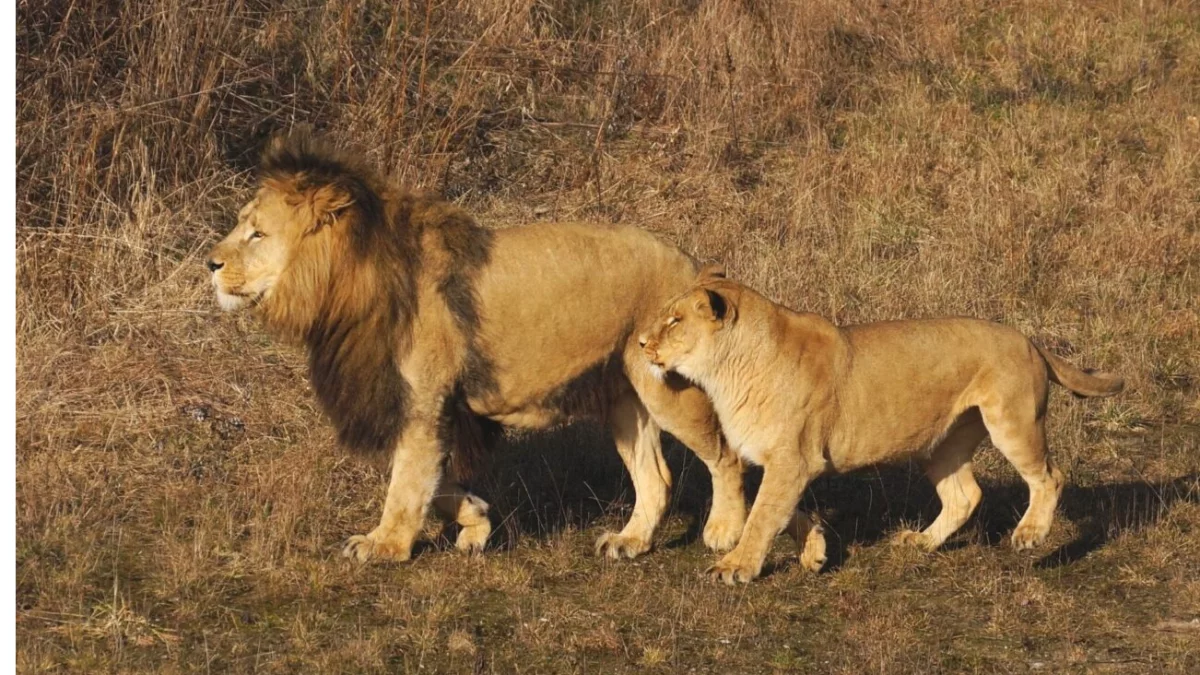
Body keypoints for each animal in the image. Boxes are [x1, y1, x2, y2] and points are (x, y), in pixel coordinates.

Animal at [205, 130, 748, 564]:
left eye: (257, 233)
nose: (209, 263)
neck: (348, 286)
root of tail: (693, 268)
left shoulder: (422, 400)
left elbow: (407, 482)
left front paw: (384, 545)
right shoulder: (418, 404)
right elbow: (431, 481)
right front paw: (477, 521)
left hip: (668, 392)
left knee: (726, 455)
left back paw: (724, 531)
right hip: (625, 398)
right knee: (656, 477)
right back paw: (629, 541)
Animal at [639, 272, 1124, 584]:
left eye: (675, 321)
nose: (641, 343)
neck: (727, 371)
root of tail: (1029, 341)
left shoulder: (794, 459)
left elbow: (761, 515)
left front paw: (735, 567)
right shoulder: (788, 463)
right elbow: (778, 509)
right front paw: (815, 552)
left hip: (1013, 423)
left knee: (1050, 476)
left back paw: (1029, 535)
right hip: (942, 446)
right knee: (965, 495)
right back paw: (922, 542)